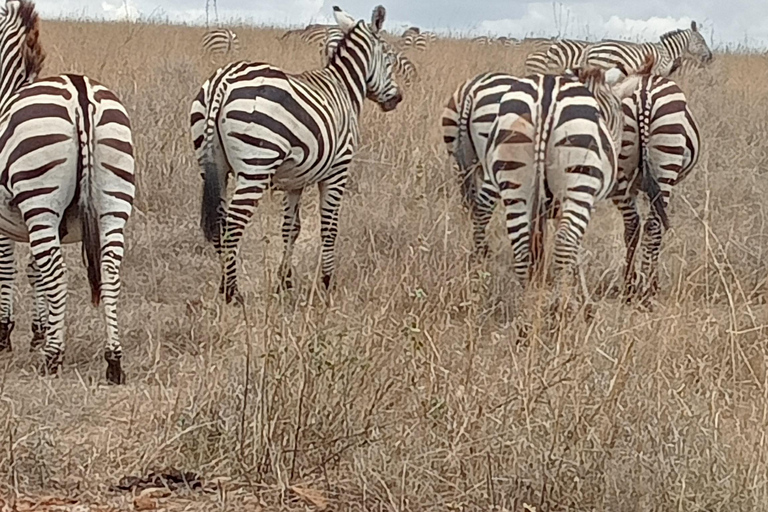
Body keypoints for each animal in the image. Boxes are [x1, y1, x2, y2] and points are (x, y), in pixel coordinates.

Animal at [0, 0, 135, 382]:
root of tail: (80, 93)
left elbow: (11, 269)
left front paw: (8, 335)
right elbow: (33, 270)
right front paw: (39, 330)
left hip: (39, 199)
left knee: (57, 270)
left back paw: (53, 358)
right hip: (114, 198)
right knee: (110, 270)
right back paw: (113, 361)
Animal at [190, 5, 402, 304]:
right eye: (390, 59)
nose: (397, 99)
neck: (345, 89)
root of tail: (224, 79)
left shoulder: (295, 180)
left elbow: (291, 228)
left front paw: (285, 282)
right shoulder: (338, 170)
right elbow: (329, 226)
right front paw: (327, 282)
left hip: (212, 165)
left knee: (220, 224)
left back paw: (224, 286)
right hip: (255, 167)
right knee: (233, 225)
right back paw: (233, 293)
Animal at [612, 76, 704, 304]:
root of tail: (644, 92)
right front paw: (652, 283)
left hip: (621, 170)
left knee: (633, 224)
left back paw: (629, 286)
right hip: (666, 160)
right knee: (653, 226)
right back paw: (647, 290)